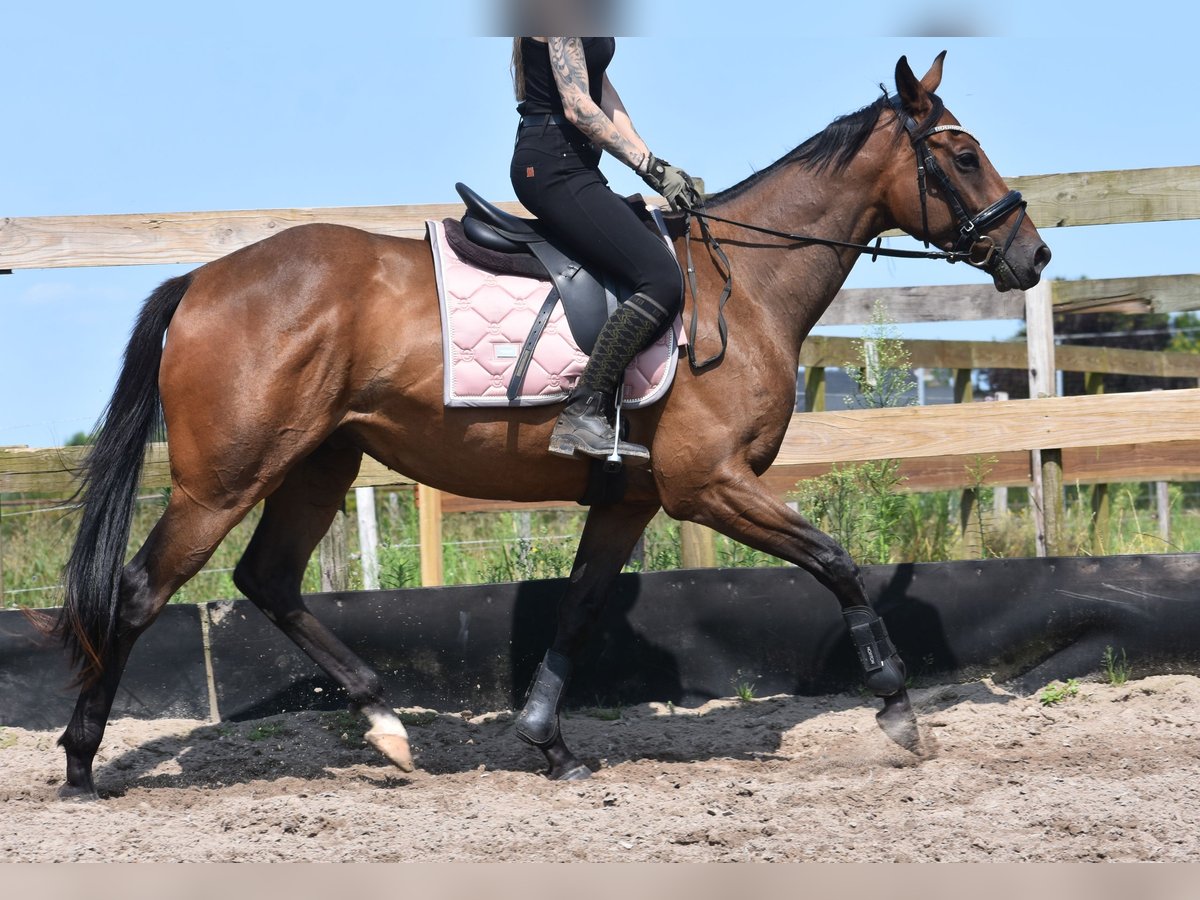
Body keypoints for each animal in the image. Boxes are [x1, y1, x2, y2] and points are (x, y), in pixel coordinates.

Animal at [51, 51, 1046, 796]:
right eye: (963, 157)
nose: (1033, 255)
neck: (748, 285)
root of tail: (202, 280)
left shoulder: (630, 499)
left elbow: (578, 608)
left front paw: (546, 742)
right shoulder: (708, 485)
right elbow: (836, 560)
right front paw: (896, 708)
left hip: (318, 462)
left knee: (267, 579)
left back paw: (387, 725)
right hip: (223, 479)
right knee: (138, 593)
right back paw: (80, 762)